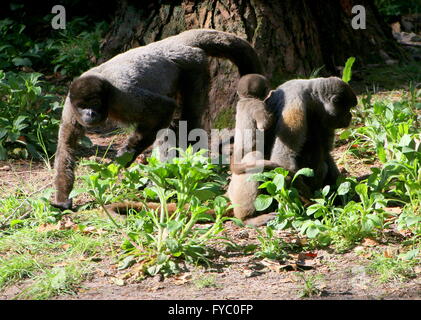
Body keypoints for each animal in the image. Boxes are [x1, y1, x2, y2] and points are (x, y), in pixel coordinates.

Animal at [52, 28, 262, 211]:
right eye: (82, 106)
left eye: (94, 103)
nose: (89, 114)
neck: (106, 96)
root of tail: (174, 42)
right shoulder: (70, 108)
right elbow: (66, 147)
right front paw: (61, 199)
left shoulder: (123, 96)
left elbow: (164, 108)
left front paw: (126, 154)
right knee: (173, 125)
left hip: (194, 65)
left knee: (188, 118)